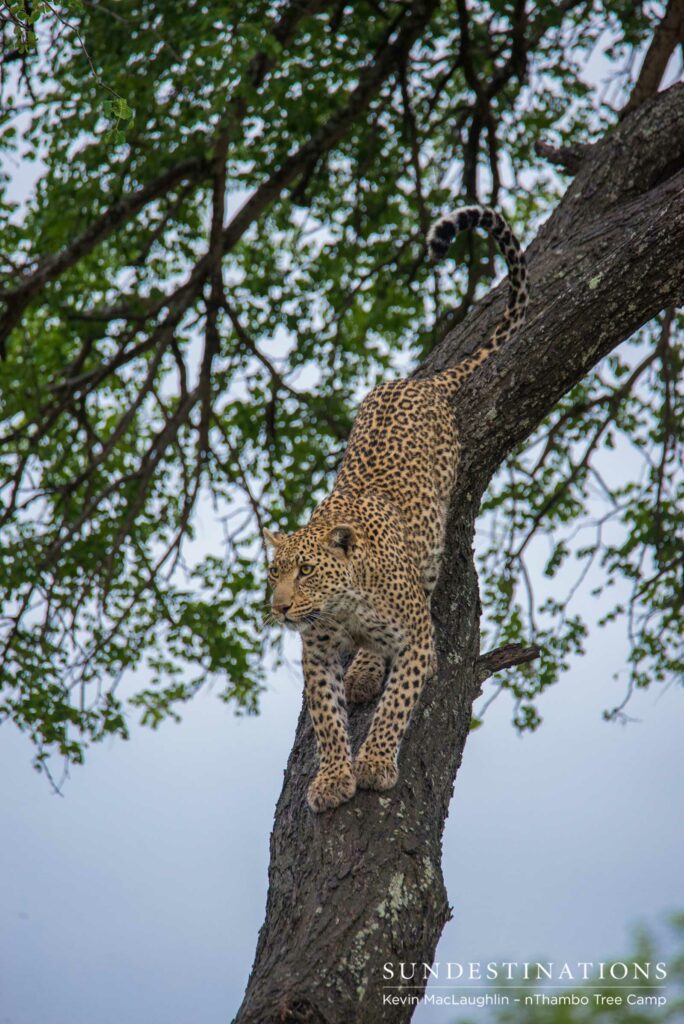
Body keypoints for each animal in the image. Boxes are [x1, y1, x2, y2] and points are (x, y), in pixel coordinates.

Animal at [265, 206, 528, 812]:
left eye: (305, 570)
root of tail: (417, 381)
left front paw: (376, 763)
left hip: (430, 551)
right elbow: (327, 719)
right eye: (273, 571)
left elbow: (395, 706)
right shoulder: (316, 654)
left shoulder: (416, 642)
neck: (344, 605)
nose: (281, 608)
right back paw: (361, 669)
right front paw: (334, 775)